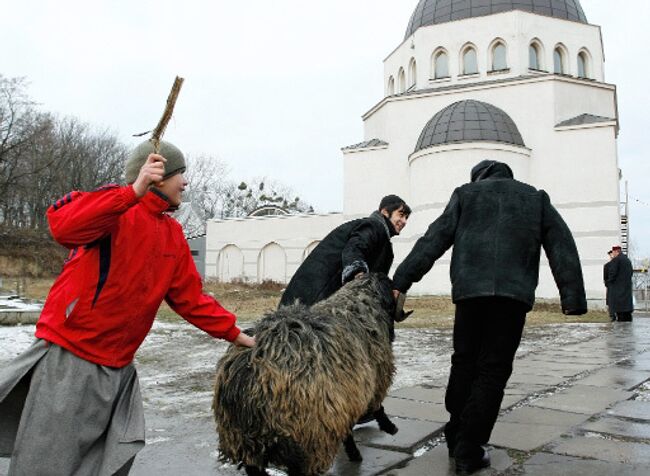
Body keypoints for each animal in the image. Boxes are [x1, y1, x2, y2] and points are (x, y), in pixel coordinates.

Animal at [213, 274, 394, 476]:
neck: (358, 304)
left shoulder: (345, 400)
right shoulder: (370, 383)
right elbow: (376, 408)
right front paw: (387, 428)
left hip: (242, 438)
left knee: (254, 468)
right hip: (306, 434)